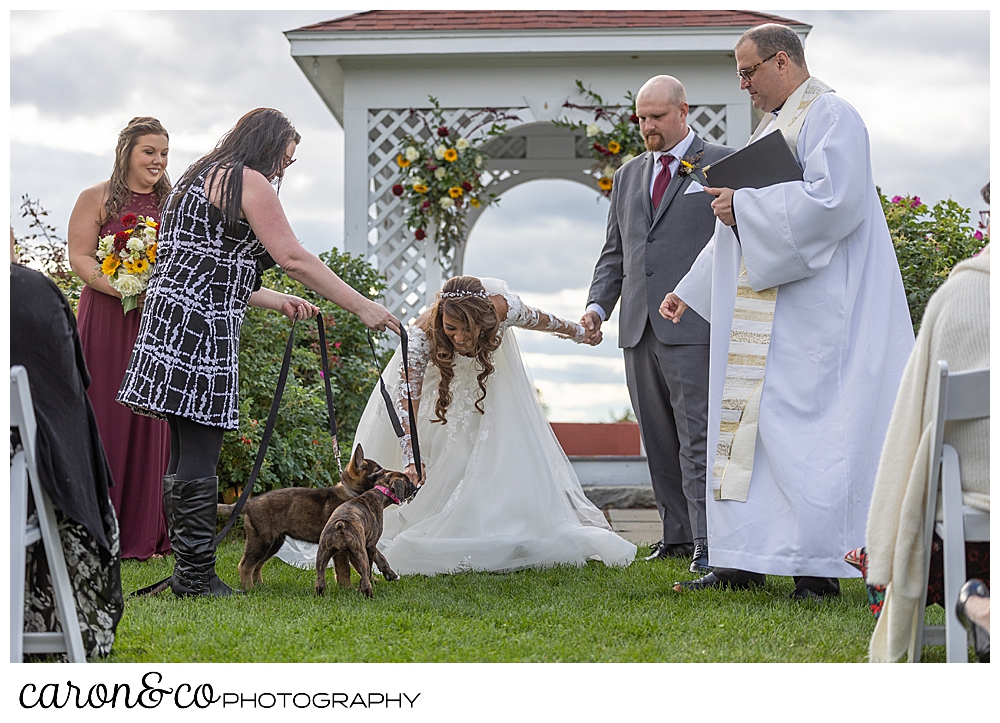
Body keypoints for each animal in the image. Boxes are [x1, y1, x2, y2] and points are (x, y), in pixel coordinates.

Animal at [219, 444, 394, 592]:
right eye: (377, 471)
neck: (352, 493)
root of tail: (249, 503)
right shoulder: (342, 546)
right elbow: (345, 569)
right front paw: (347, 588)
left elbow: (373, 557)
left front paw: (380, 576)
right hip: (262, 541)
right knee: (245, 565)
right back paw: (249, 589)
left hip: (274, 542)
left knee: (257, 564)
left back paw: (261, 586)